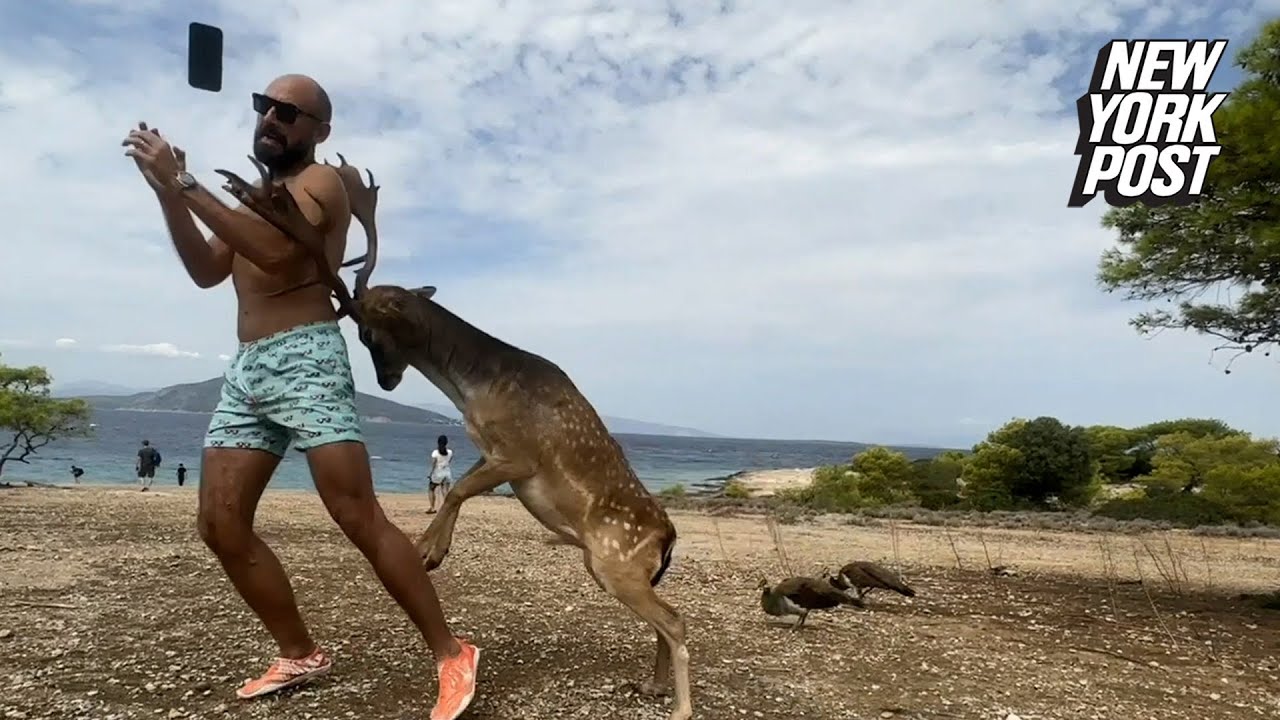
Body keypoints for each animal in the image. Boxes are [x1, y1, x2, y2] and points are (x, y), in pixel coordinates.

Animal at [218, 154, 696, 712]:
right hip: (610, 567)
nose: (386, 380)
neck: (471, 392)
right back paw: (652, 684)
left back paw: (681, 707)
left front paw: (428, 550)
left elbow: (459, 489)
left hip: (617, 561)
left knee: (675, 620)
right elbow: (461, 485)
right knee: (665, 619)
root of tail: (668, 538)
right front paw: (430, 547)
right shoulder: (487, 450)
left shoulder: (520, 453)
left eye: (368, 331)